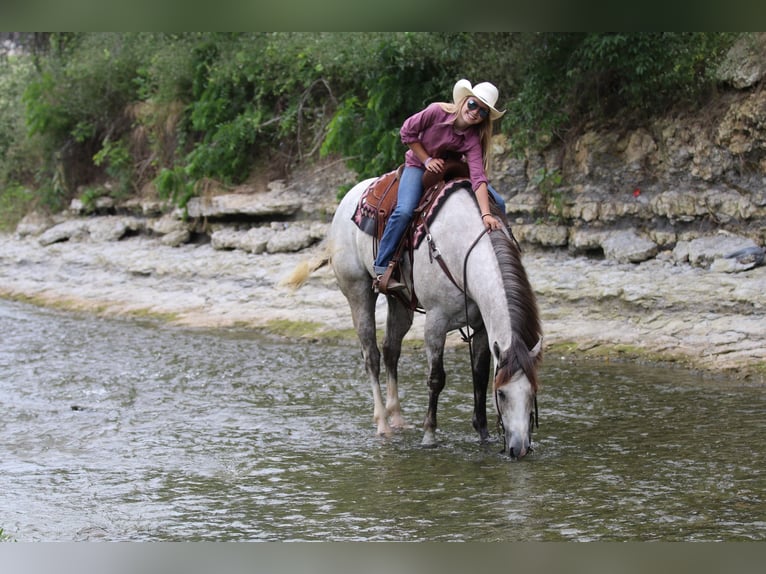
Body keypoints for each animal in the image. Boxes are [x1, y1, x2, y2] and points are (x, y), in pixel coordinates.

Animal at [328, 178, 544, 462]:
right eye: (502, 394)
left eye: (533, 392)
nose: (519, 448)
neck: (464, 253)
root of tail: (351, 196)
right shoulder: (436, 322)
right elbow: (436, 378)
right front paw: (429, 435)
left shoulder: (481, 327)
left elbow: (480, 374)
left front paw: (483, 434)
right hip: (358, 292)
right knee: (371, 356)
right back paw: (383, 424)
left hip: (400, 302)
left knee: (390, 350)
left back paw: (398, 419)